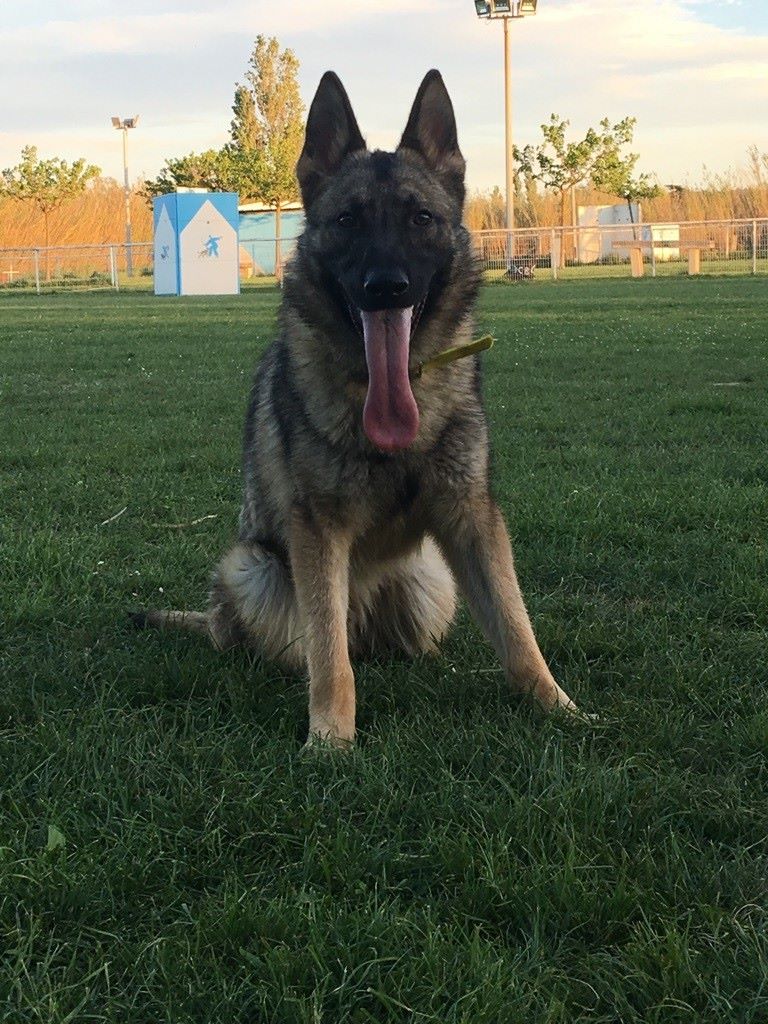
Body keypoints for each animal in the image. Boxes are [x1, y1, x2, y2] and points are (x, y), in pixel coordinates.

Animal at [135, 72, 581, 745]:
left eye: (421, 218)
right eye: (347, 220)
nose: (386, 286)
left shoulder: (472, 521)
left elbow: (515, 625)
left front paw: (557, 705)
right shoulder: (318, 534)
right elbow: (329, 658)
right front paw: (330, 737)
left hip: (431, 578)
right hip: (255, 570)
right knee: (292, 641)